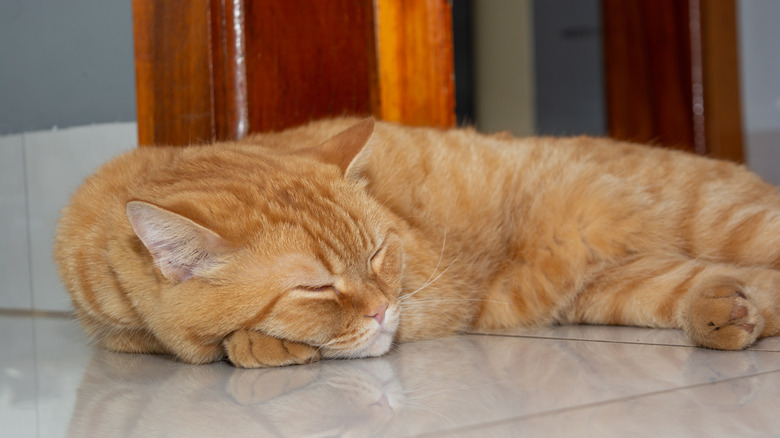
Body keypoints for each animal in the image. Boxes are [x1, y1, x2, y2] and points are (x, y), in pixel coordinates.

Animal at [54, 116, 780, 366]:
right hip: (620, 287)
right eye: (316, 285)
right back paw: (724, 315)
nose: (382, 310)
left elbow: (230, 344)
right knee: (744, 293)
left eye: (379, 252)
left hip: (724, 220)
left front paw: (258, 346)